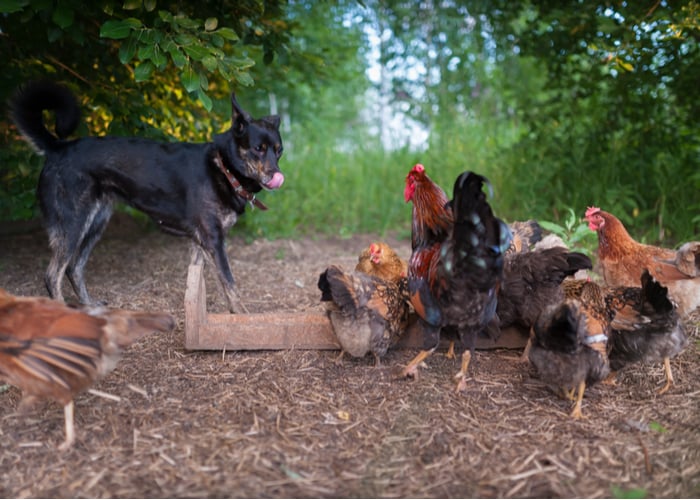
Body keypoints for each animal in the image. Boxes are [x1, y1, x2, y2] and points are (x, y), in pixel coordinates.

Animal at [8, 81, 284, 312]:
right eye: (258, 149)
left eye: (278, 150)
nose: (276, 175)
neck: (224, 167)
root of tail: (57, 148)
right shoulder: (213, 240)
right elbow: (230, 283)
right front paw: (242, 317)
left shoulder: (201, 242)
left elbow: (200, 279)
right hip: (73, 224)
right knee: (52, 274)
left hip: (96, 223)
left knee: (74, 268)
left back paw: (90, 306)